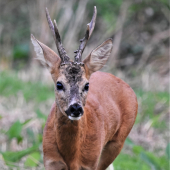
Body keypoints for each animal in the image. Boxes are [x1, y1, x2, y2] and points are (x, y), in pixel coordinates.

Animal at [31, 6, 137, 170]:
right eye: (59, 84)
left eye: (87, 85)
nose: (75, 108)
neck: (72, 158)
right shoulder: (50, 161)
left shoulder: (90, 162)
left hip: (117, 142)